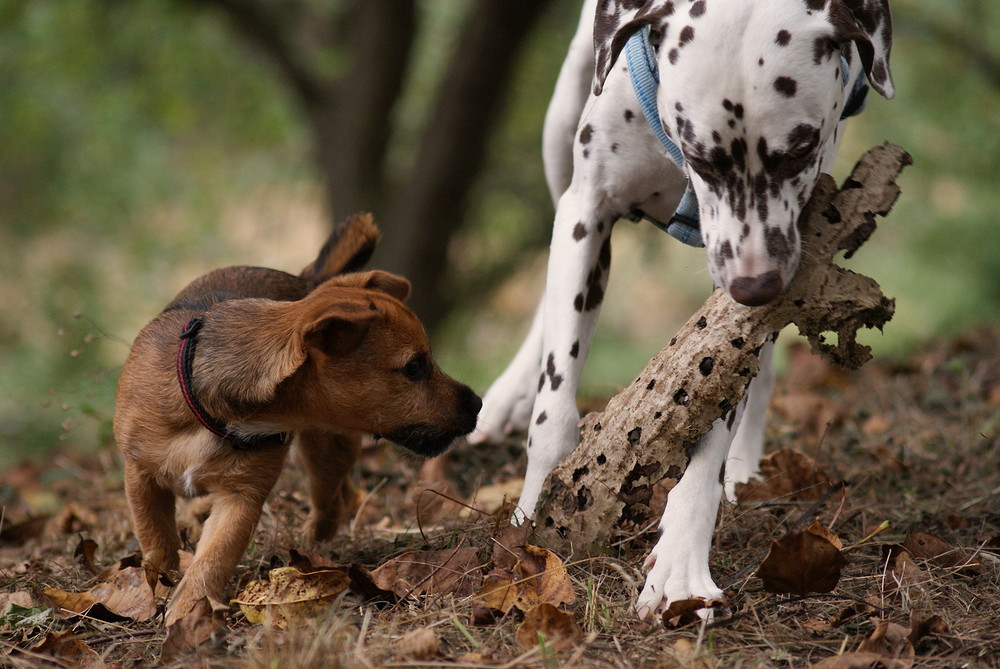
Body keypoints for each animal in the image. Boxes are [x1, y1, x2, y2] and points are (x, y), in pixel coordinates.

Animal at [113, 215, 480, 628]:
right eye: (414, 367)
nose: (478, 403)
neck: (210, 411)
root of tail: (307, 280)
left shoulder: (241, 498)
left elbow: (213, 558)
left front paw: (189, 610)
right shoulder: (140, 476)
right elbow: (157, 542)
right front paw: (160, 590)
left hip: (326, 452)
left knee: (332, 504)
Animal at [472, 0, 896, 620]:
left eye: (800, 149)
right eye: (702, 156)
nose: (755, 285)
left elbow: (716, 416)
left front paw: (682, 565)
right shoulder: (587, 212)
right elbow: (554, 411)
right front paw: (532, 523)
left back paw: (744, 468)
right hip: (562, 122)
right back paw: (508, 393)